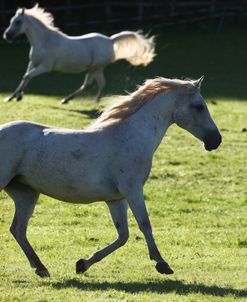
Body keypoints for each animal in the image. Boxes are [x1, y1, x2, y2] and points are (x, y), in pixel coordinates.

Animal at [0, 76, 222, 278]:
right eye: (199, 106)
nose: (216, 140)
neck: (130, 135)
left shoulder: (116, 199)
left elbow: (123, 235)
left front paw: (82, 264)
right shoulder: (133, 190)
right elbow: (145, 224)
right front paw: (162, 264)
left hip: (26, 194)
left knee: (18, 229)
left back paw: (41, 268)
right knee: (18, 229)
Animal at [2, 3, 154, 105]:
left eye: (18, 22)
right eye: (11, 21)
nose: (7, 36)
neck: (44, 40)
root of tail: (110, 40)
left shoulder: (45, 66)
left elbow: (27, 76)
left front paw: (17, 96)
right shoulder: (33, 63)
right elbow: (25, 77)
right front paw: (12, 97)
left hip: (94, 68)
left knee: (88, 85)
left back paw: (67, 100)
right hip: (98, 69)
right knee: (102, 84)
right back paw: (94, 101)